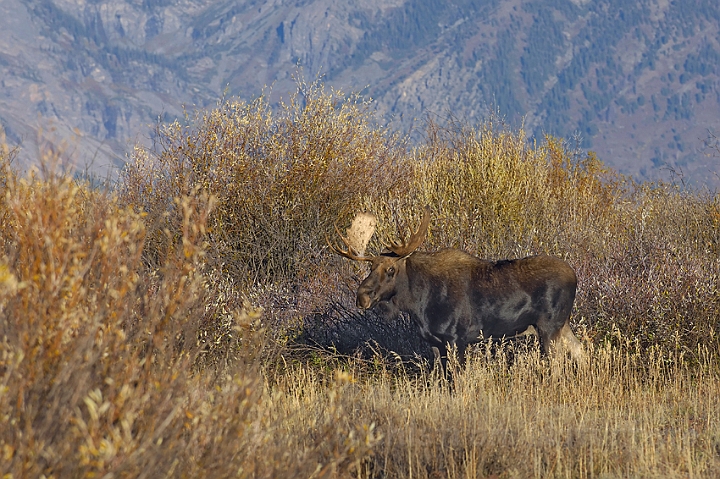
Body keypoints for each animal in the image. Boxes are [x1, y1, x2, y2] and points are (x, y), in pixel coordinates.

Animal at [328, 205, 584, 368]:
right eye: (370, 267)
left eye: (391, 269)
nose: (362, 296)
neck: (418, 304)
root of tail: (575, 276)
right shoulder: (434, 343)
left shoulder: (456, 340)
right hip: (561, 326)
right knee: (582, 352)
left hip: (549, 327)